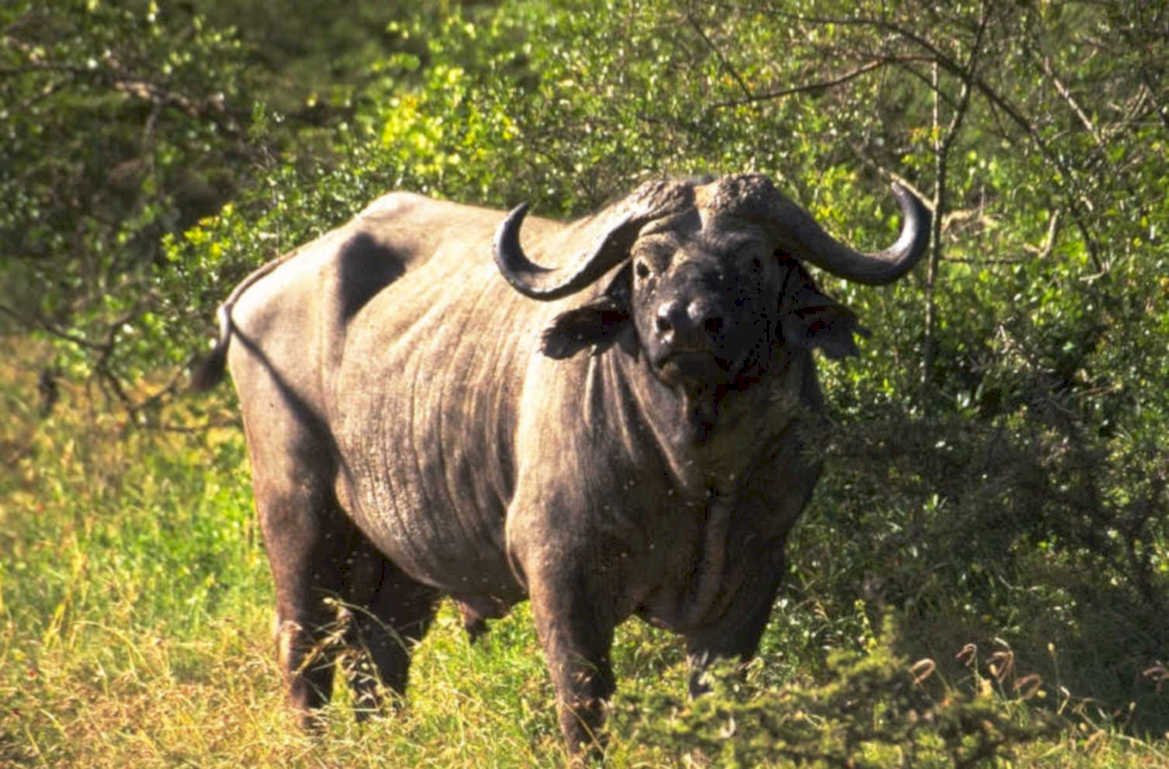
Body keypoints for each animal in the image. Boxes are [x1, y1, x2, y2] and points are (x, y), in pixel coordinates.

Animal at [191, 174, 928, 756]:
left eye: (751, 260)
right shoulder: (561, 571)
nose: (685, 324)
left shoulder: (754, 577)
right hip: (299, 515)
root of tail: (259, 288)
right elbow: (584, 700)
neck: (694, 472)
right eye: (644, 265)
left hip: (402, 555)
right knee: (305, 644)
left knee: (379, 649)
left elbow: (718, 702)